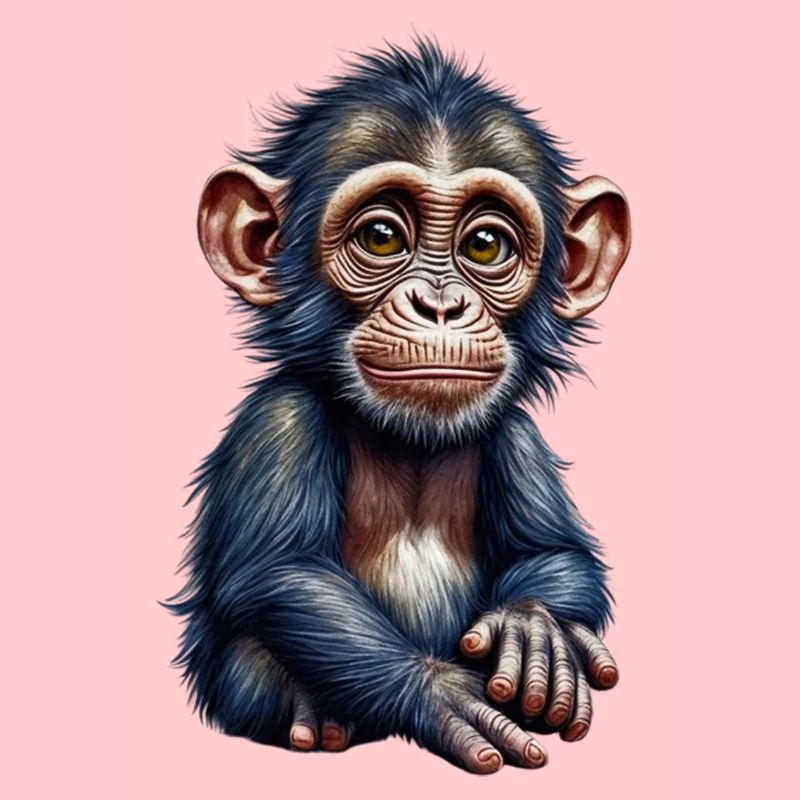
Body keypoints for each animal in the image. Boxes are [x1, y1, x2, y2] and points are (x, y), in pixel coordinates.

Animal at [167, 39, 631, 774]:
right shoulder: (279, 423)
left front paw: (534, 628)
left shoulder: (519, 435)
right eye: (382, 237)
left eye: (485, 246)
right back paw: (315, 718)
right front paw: (440, 691)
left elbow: (555, 547)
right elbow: (282, 571)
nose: (440, 304)